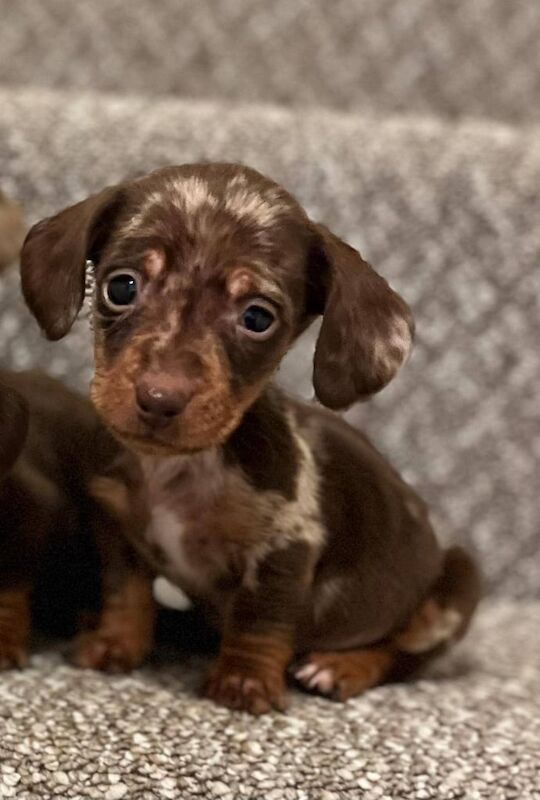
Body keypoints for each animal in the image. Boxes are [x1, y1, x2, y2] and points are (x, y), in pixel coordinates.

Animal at [20, 162, 480, 712]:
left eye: (257, 318)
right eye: (121, 287)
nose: (159, 398)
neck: (180, 468)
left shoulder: (285, 543)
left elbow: (260, 617)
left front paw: (243, 679)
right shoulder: (115, 524)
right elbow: (123, 590)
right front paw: (116, 642)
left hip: (453, 588)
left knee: (402, 653)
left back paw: (343, 666)